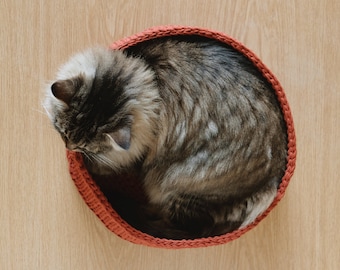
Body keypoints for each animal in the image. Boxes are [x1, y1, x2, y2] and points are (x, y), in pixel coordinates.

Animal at [43, 36, 288, 240]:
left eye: (87, 148)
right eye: (62, 132)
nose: (70, 147)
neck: (148, 79)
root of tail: (272, 177)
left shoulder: (136, 151)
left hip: (176, 185)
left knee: (178, 226)